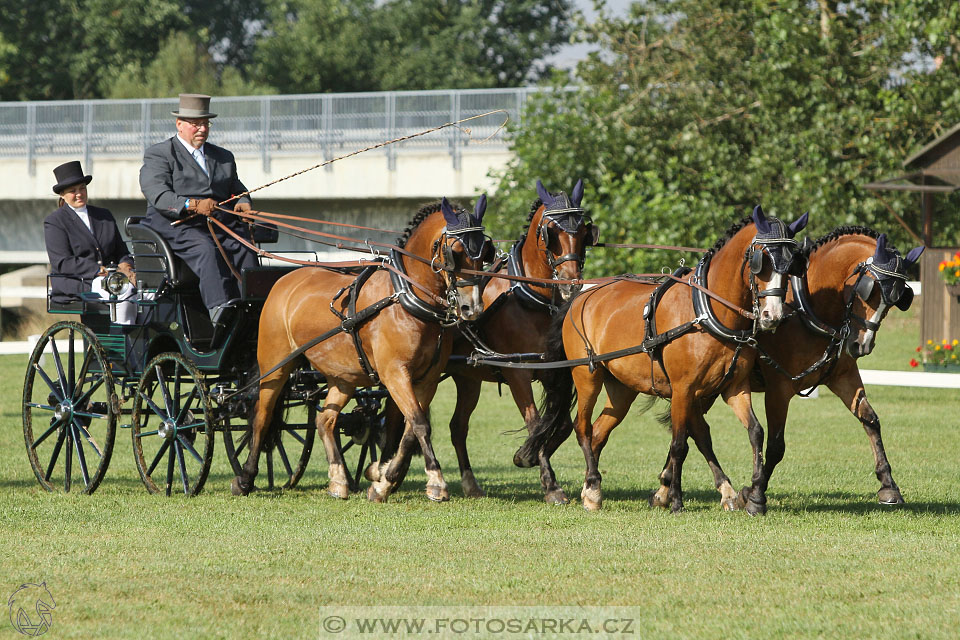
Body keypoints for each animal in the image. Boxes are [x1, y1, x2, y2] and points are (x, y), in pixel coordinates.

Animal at [229, 198, 492, 502]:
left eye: (484, 252)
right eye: (455, 253)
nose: (472, 308)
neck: (406, 298)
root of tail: (284, 281)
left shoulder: (427, 379)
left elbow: (410, 429)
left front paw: (383, 479)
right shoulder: (395, 374)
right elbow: (418, 424)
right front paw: (432, 482)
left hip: (343, 377)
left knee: (325, 420)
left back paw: (338, 480)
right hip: (276, 364)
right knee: (262, 417)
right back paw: (245, 478)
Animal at [444, 178, 596, 502]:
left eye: (583, 232)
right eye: (551, 233)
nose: (571, 283)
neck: (531, 300)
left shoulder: (553, 371)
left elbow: (561, 425)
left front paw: (525, 455)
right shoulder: (518, 373)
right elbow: (535, 422)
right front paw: (550, 484)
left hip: (467, 378)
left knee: (457, 427)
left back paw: (469, 483)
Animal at [512, 208, 808, 512]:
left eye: (792, 264)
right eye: (762, 260)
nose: (773, 316)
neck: (706, 310)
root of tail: (580, 296)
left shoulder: (733, 388)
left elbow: (751, 432)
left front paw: (749, 495)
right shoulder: (683, 389)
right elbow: (680, 443)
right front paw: (675, 498)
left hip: (621, 389)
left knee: (598, 433)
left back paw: (588, 487)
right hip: (587, 376)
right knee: (582, 427)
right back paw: (593, 489)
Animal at [736, 228, 924, 512]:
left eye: (895, 301)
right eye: (868, 292)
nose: (861, 345)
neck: (808, 309)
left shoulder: (843, 377)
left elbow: (870, 420)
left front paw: (888, 486)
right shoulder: (779, 389)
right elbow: (776, 446)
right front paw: (754, 493)